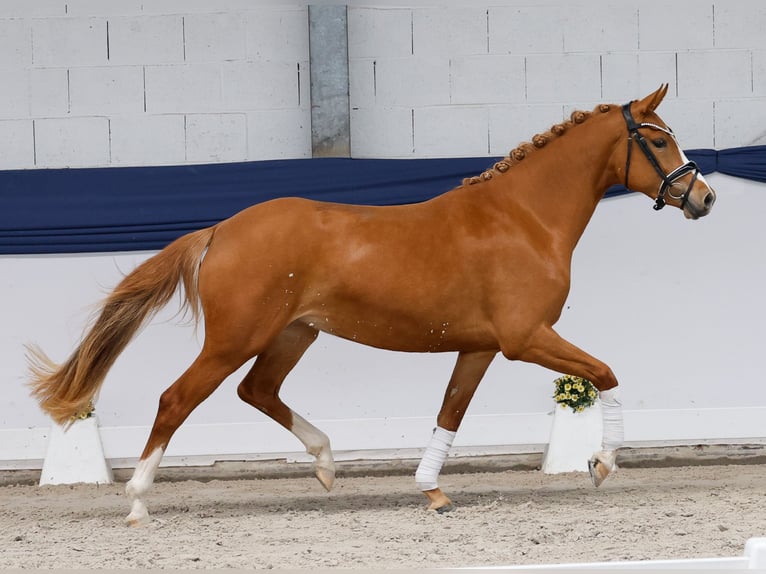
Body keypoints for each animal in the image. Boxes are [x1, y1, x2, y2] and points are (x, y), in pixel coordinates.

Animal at [27, 85, 716, 526]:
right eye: (658, 140)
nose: (703, 198)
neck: (522, 218)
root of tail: (220, 230)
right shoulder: (524, 338)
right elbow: (605, 374)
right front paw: (601, 463)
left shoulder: (480, 346)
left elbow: (450, 412)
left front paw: (431, 491)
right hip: (235, 338)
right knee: (177, 399)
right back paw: (140, 501)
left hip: (294, 334)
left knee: (258, 391)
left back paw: (328, 465)